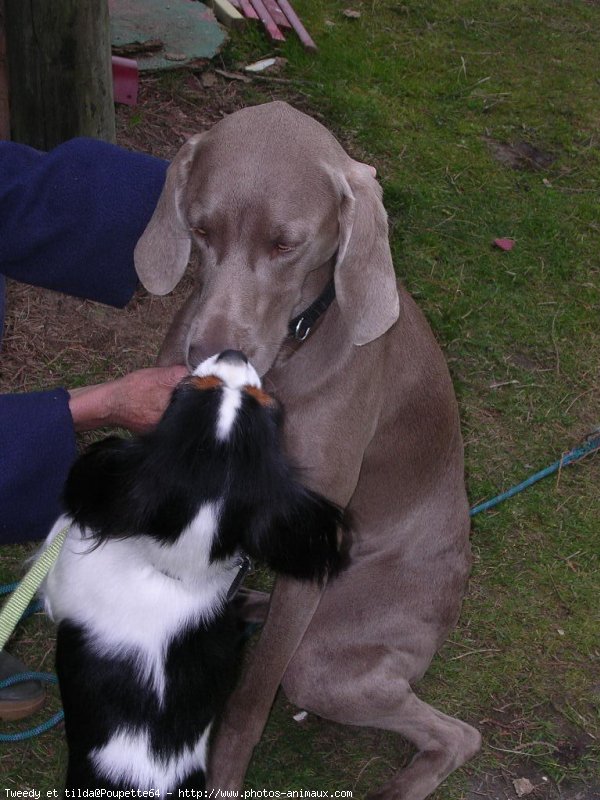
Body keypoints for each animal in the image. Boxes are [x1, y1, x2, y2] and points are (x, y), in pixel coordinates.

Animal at [134, 101, 480, 800]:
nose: (205, 355)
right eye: (200, 229)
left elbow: (249, 701)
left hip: (330, 658)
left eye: (285, 244)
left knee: (457, 734)